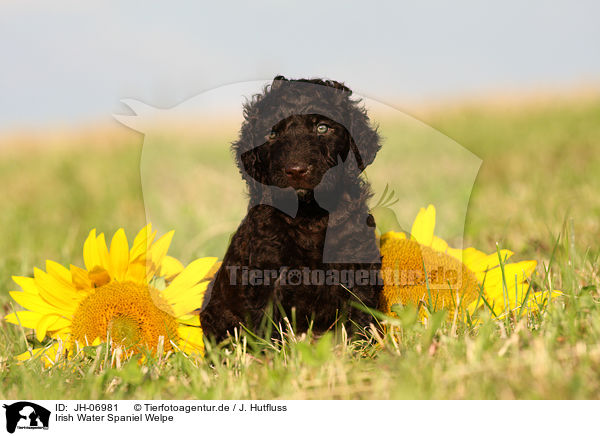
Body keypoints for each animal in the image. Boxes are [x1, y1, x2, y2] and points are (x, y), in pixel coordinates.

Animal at [199, 76, 382, 342]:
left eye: (322, 128)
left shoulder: (357, 264)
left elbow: (361, 315)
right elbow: (265, 326)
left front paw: (364, 347)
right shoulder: (265, 275)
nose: (296, 171)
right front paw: (267, 352)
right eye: (272, 134)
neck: (309, 214)